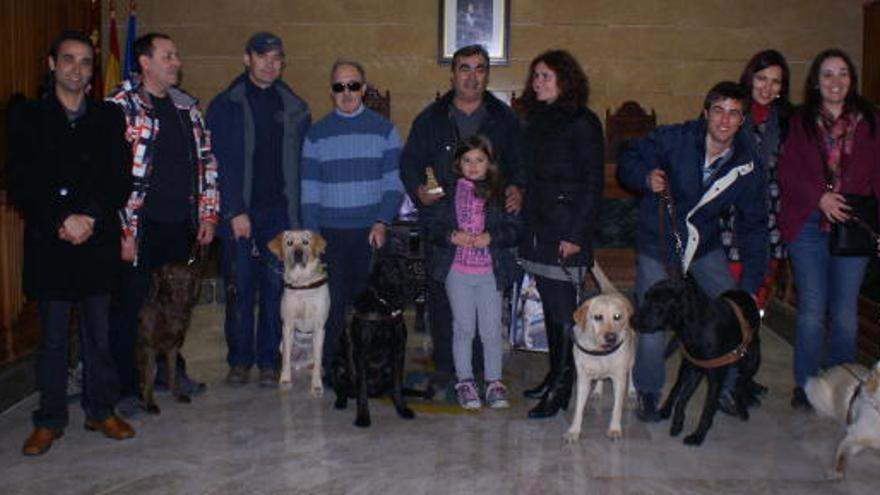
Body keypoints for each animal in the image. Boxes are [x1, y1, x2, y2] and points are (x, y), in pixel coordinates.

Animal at [268, 231, 330, 398]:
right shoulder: (288, 325)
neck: (302, 282)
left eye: (305, 242)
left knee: (315, 361)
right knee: (288, 359)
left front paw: (316, 386)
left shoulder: (319, 327)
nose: (298, 253)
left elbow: (318, 360)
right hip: (282, 344)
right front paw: (285, 379)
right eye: (289, 243)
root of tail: (300, 364)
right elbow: (285, 360)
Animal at [332, 256, 424, 426]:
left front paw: (402, 409)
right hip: (337, 365)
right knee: (342, 390)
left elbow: (397, 386)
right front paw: (363, 417)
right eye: (393, 270)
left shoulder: (399, 352)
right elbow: (361, 390)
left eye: (409, 267)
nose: (415, 286)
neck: (385, 308)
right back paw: (341, 401)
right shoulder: (360, 354)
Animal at [568, 264, 636, 446]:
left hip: (632, 354)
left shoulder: (619, 378)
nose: (611, 337)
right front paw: (573, 431)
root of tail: (612, 291)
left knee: (632, 372)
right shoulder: (583, 378)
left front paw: (614, 429)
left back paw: (632, 391)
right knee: (600, 377)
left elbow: (617, 408)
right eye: (598, 317)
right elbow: (578, 408)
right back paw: (597, 391)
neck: (600, 352)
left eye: (617, 317)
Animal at [632, 278, 764, 448]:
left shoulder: (714, 377)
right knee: (676, 387)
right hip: (686, 365)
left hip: (752, 361)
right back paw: (665, 410)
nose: (632, 320)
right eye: (646, 297)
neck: (697, 327)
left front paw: (697, 436)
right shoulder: (695, 370)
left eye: (658, 302)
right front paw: (679, 424)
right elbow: (683, 399)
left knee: (741, 383)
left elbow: (706, 408)